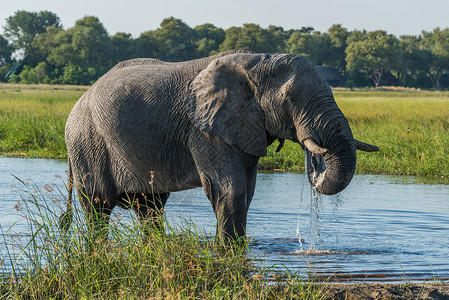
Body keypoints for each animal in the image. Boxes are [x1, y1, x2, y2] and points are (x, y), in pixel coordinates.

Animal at [61, 49, 378, 241]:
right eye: (289, 101)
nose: (316, 161)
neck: (257, 62)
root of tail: (79, 100)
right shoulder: (204, 129)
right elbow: (230, 190)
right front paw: (230, 252)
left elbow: (247, 192)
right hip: (87, 140)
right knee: (98, 204)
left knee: (149, 206)